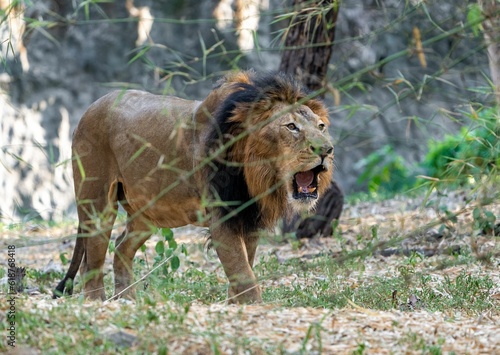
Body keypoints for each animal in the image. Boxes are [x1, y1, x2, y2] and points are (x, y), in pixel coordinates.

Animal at [53, 71, 336, 304]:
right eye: (291, 127)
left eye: (321, 126)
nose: (327, 149)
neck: (256, 172)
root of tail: (91, 107)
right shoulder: (223, 218)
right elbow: (243, 273)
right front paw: (254, 307)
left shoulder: (247, 218)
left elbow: (244, 268)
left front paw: (233, 305)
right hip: (97, 202)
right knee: (92, 257)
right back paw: (97, 302)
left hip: (147, 215)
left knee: (121, 247)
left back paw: (127, 299)